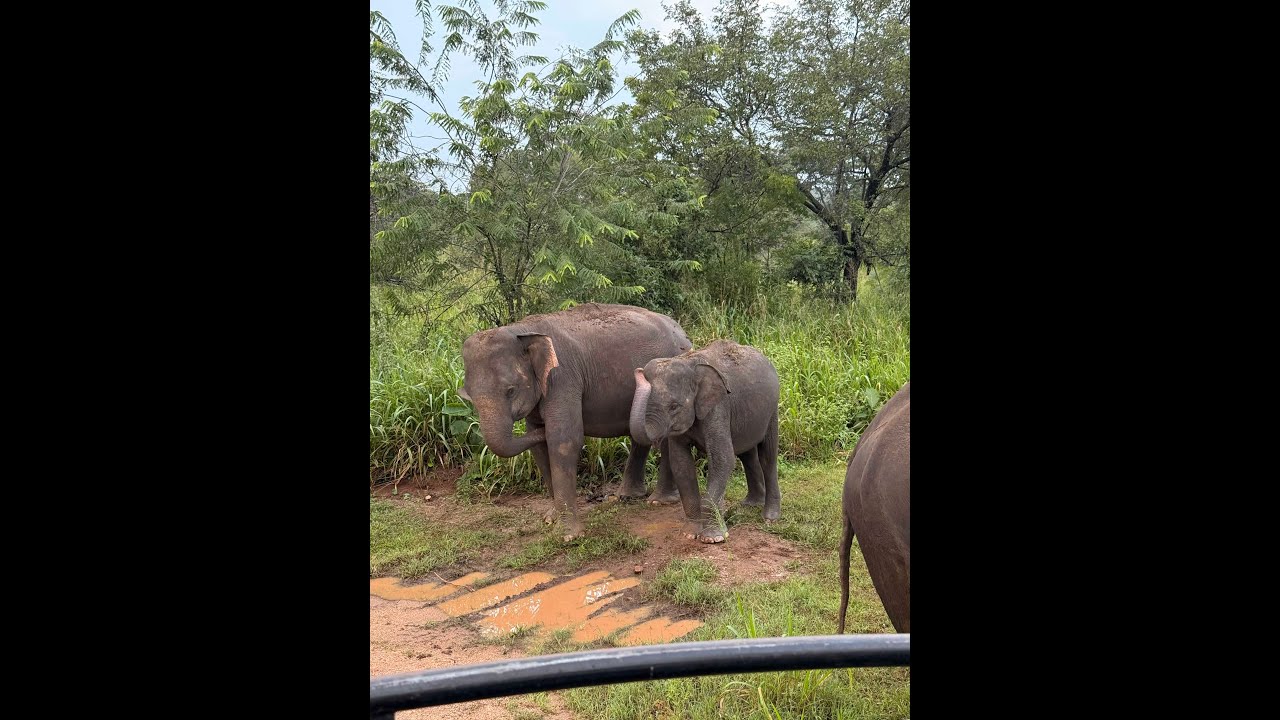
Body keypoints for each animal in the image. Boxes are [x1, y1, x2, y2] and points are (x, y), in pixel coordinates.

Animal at [459, 303, 692, 541]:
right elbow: (540, 449)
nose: (541, 429)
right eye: (469, 396)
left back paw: (658, 501)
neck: (521, 329)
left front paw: (568, 535)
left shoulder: (563, 379)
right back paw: (626, 497)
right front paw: (550, 519)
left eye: (511, 390)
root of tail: (682, 332)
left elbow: (564, 440)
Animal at [629, 339, 781, 543]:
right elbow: (681, 464)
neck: (689, 362)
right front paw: (689, 533)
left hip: (772, 410)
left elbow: (723, 459)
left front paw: (713, 538)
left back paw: (770, 518)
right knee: (747, 455)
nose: (638, 371)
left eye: (674, 407)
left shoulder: (718, 407)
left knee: (767, 457)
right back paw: (750, 505)